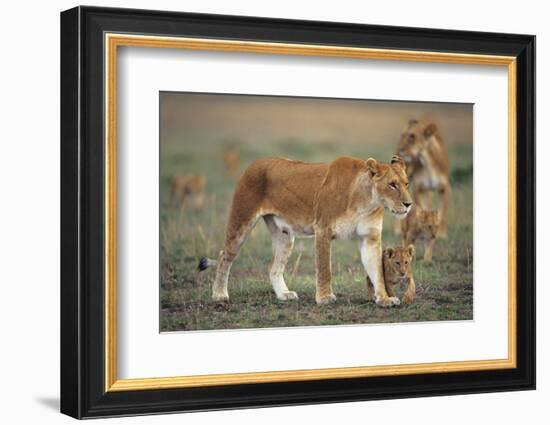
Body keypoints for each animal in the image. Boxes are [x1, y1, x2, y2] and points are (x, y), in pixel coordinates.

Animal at [199, 154, 414, 306]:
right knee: (224, 256)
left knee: (274, 267)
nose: (409, 204)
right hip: (241, 220)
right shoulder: (323, 229)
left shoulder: (370, 237)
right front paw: (325, 298)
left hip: (285, 236)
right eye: (392, 185)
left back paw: (283, 294)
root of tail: (255, 162)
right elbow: (324, 268)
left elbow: (376, 271)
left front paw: (384, 299)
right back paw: (219, 295)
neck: (367, 201)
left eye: (406, 183)